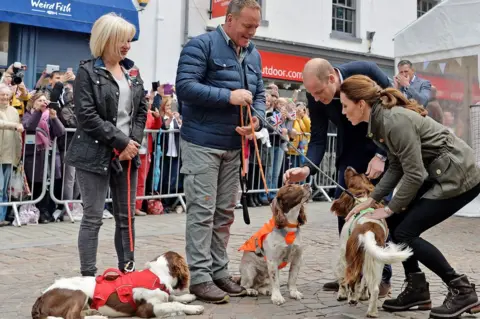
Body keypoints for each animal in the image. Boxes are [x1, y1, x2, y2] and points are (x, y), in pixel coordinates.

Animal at [31, 252, 204, 319]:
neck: (156, 275)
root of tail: (40, 298)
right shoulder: (146, 309)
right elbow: (174, 303)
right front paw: (195, 308)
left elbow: (173, 297)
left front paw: (189, 296)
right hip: (79, 293)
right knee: (71, 316)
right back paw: (97, 317)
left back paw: (94, 312)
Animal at [330, 169, 412, 318]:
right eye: (363, 175)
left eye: (354, 175)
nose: (349, 167)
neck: (361, 200)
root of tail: (368, 231)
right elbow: (363, 282)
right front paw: (363, 296)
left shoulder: (343, 253)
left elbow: (344, 279)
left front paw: (342, 294)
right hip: (376, 261)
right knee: (374, 288)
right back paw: (372, 312)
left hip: (353, 259)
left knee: (352, 279)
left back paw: (352, 300)